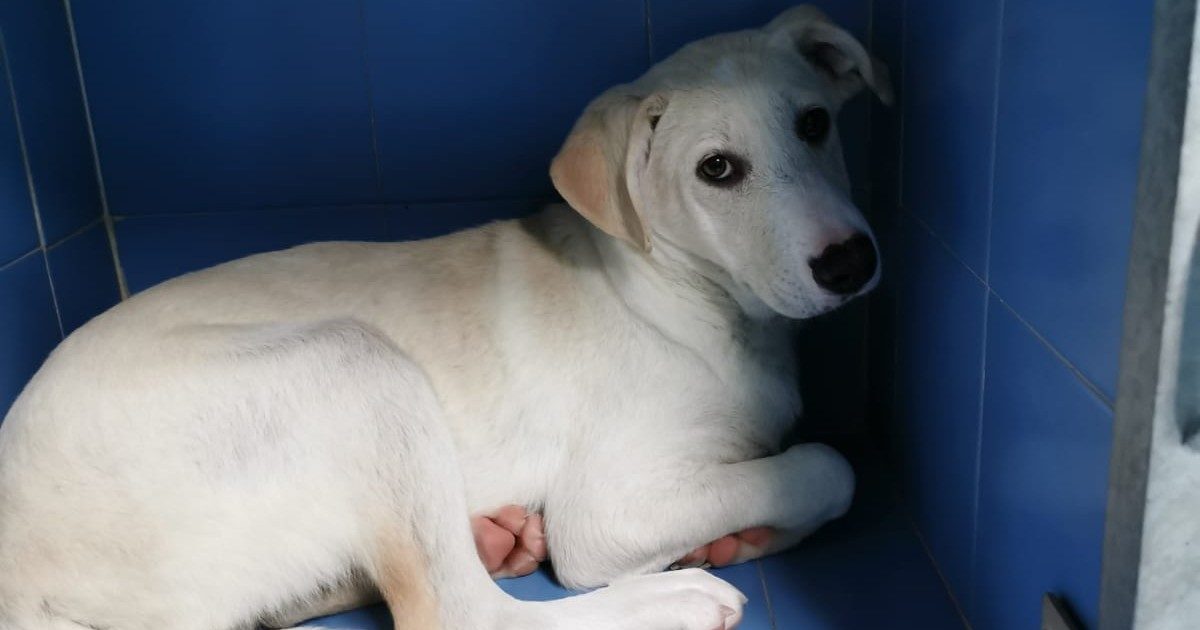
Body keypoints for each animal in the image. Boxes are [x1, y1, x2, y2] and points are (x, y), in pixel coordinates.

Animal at [0, 6, 892, 628]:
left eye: (816, 124)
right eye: (717, 170)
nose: (851, 263)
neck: (689, 297)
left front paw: (742, 534)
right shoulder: (608, 507)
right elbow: (828, 468)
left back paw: (495, 542)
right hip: (353, 362)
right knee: (453, 611)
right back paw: (668, 601)